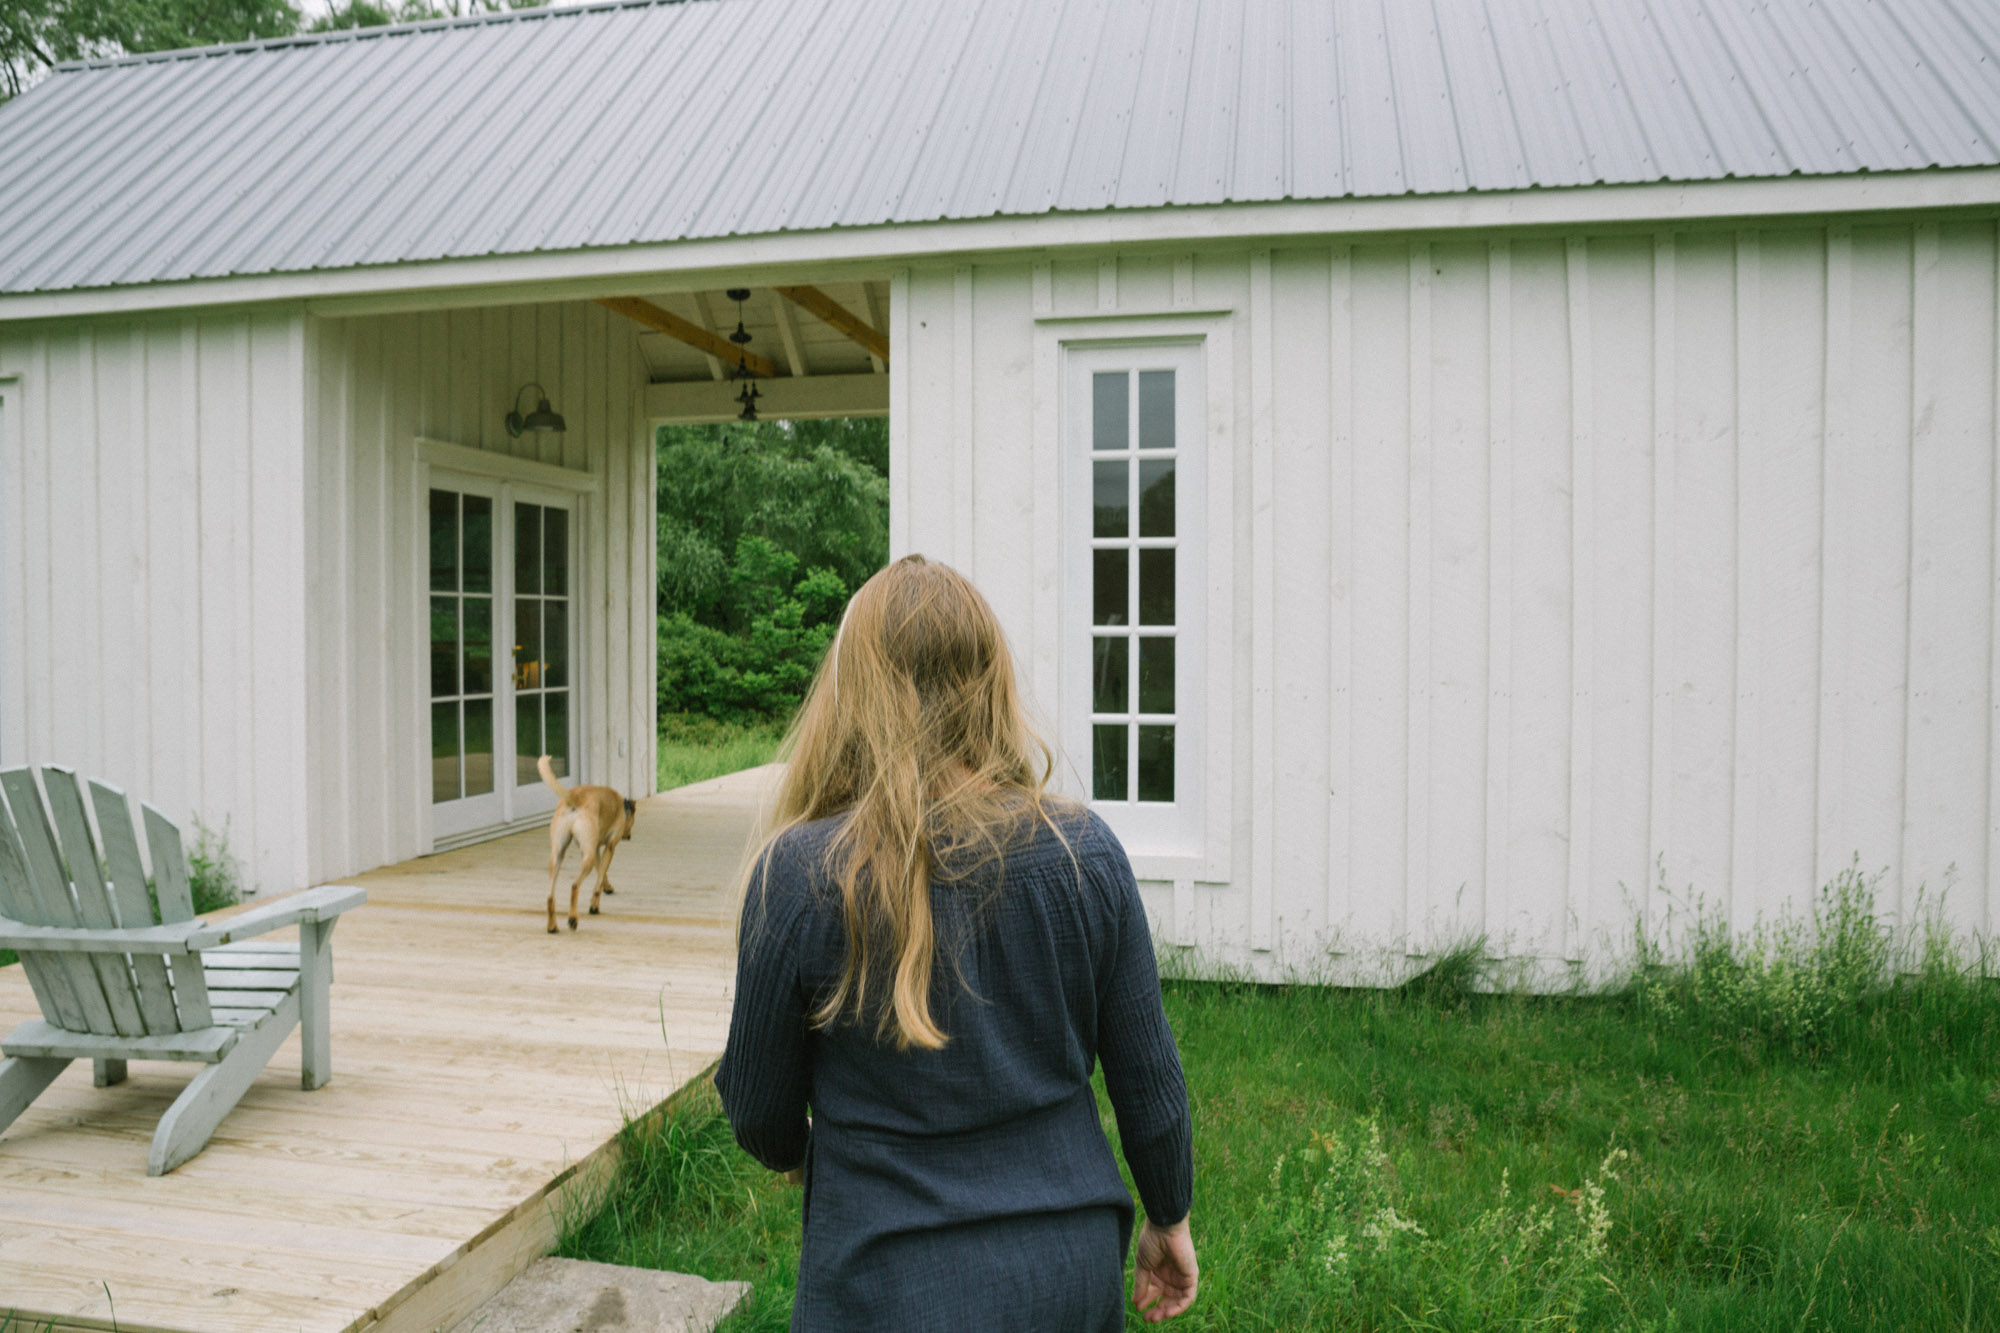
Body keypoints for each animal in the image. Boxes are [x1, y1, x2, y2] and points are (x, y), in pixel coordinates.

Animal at [536, 752, 636, 928]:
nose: (629, 836)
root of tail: (575, 797)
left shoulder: (595, 849)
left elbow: (601, 873)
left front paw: (607, 887)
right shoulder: (609, 847)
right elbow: (599, 879)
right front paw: (594, 906)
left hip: (557, 855)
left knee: (550, 896)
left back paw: (552, 926)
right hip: (586, 858)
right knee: (575, 886)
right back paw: (572, 919)